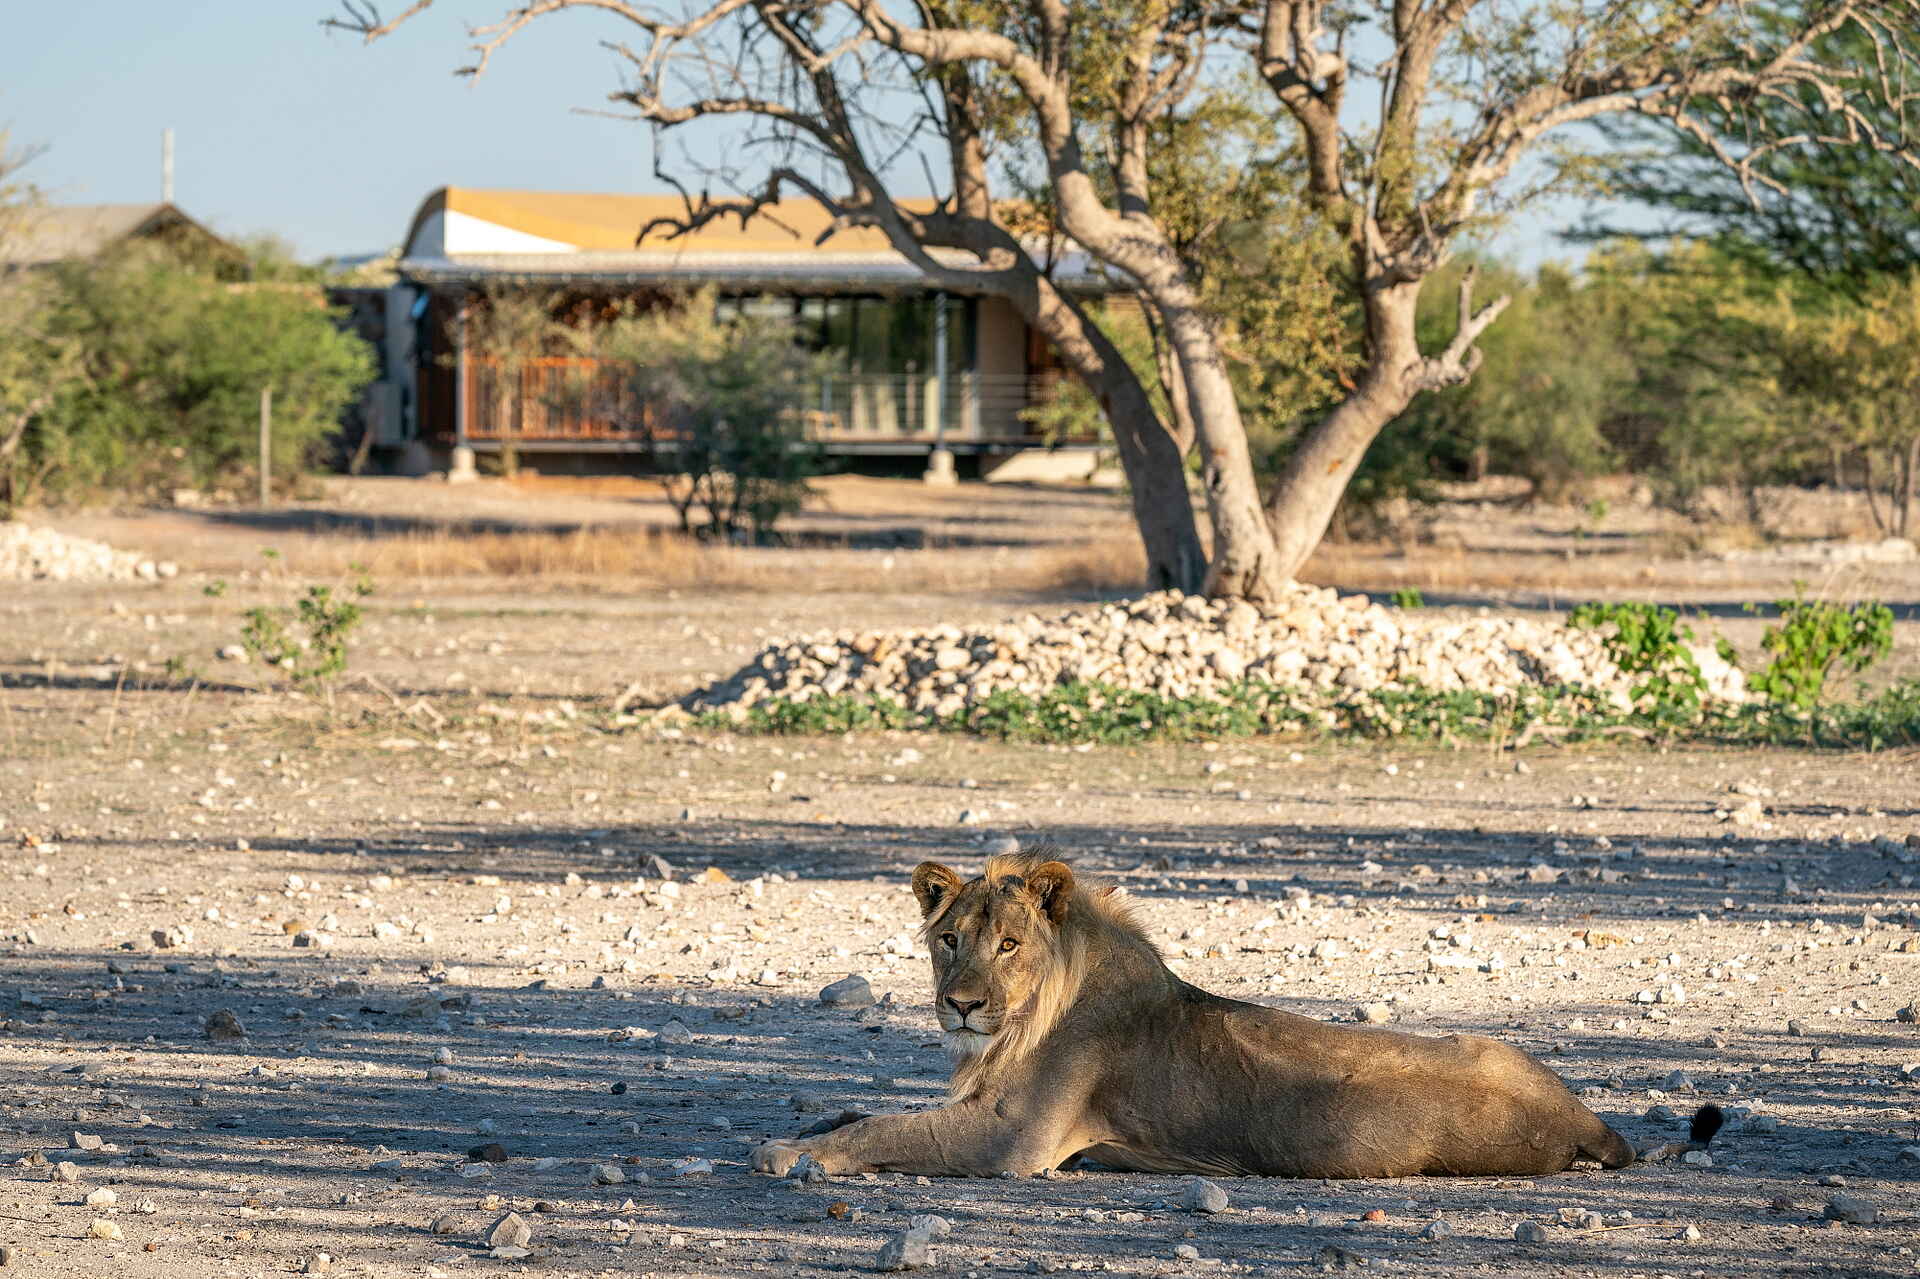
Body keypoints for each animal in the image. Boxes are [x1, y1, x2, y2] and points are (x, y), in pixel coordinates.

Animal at [752, 852, 1723, 1180]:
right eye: (950, 938)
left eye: (1009, 944)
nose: (959, 1004)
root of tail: (1585, 1116)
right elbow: (858, 1109)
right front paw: (804, 1131)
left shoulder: (1013, 1140)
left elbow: (885, 1126)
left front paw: (785, 1151)